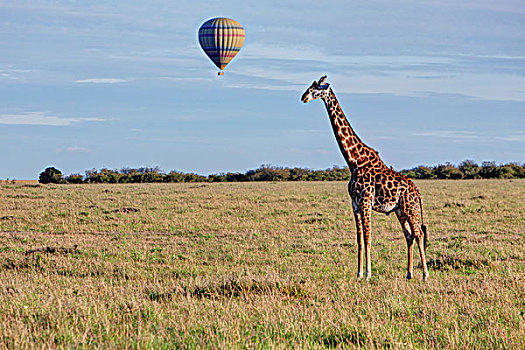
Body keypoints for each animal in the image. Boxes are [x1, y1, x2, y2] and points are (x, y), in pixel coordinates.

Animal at [300, 76, 428, 282]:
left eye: (317, 87)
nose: (303, 97)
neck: (354, 161)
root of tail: (418, 192)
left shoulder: (366, 201)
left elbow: (368, 237)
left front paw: (368, 273)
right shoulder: (355, 203)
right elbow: (359, 239)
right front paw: (359, 273)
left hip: (411, 208)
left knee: (419, 234)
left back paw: (424, 274)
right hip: (400, 211)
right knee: (409, 236)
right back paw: (408, 274)